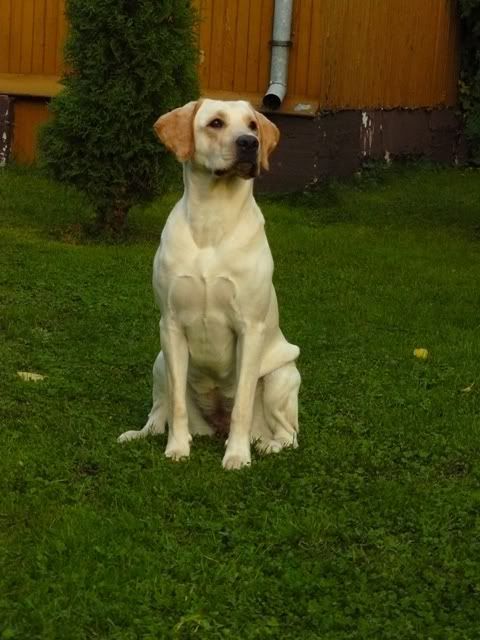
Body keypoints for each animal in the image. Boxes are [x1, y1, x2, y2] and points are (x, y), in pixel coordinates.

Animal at [118, 99, 300, 469]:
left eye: (253, 125)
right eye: (216, 123)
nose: (249, 143)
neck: (212, 218)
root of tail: (214, 427)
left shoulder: (250, 329)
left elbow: (243, 404)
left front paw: (237, 455)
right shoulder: (171, 324)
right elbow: (175, 403)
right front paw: (177, 448)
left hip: (283, 377)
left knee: (288, 434)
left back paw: (266, 445)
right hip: (160, 362)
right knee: (159, 412)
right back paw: (145, 434)